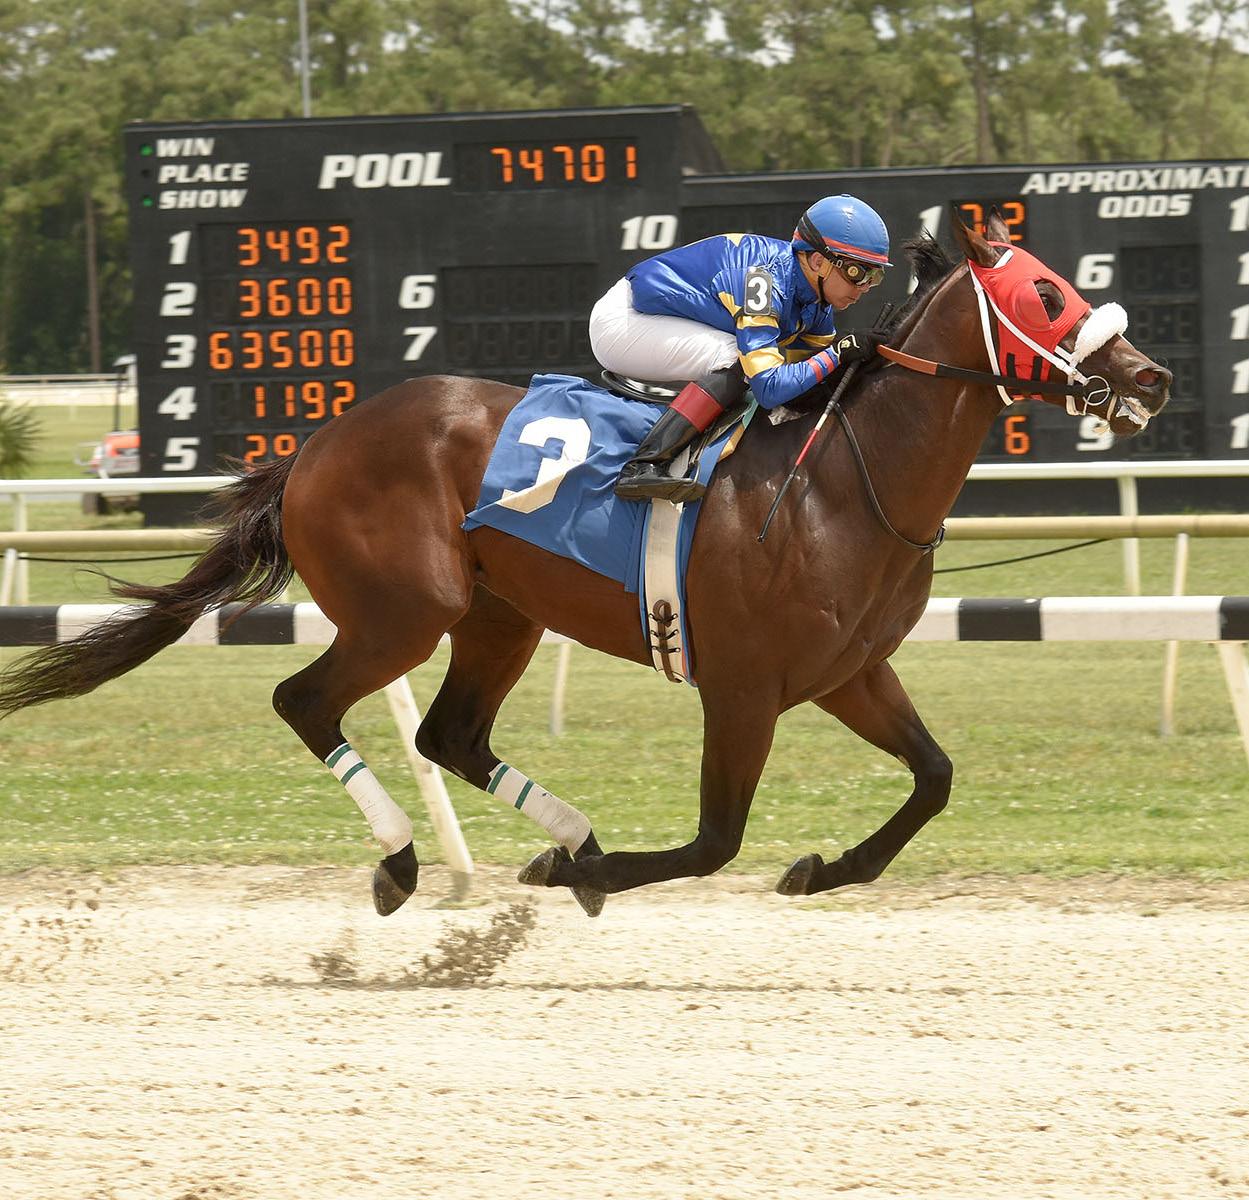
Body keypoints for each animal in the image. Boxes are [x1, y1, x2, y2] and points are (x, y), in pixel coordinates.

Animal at [0, 211, 1171, 916]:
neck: (845, 481)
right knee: (307, 701)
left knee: (449, 733)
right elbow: (713, 841)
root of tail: (316, 445)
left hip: (499, 615)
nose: (1149, 377)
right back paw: (406, 858)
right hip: (403, 611)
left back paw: (559, 834)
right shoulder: (742, 689)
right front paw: (593, 870)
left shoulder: (849, 673)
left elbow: (932, 779)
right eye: (1050, 295)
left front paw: (822, 868)